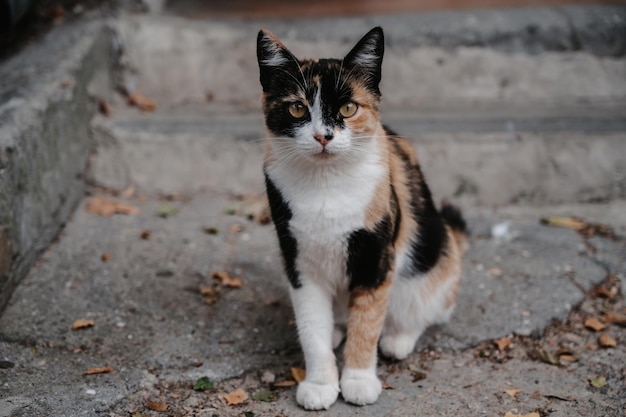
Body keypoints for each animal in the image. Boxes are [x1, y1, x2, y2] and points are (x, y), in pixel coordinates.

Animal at [254, 26, 464, 410]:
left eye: (348, 108)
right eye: (297, 108)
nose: (323, 136)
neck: (326, 185)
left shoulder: (376, 257)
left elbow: (366, 322)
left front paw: (358, 381)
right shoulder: (298, 262)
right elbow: (312, 328)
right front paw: (320, 384)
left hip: (435, 261)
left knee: (426, 308)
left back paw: (398, 339)